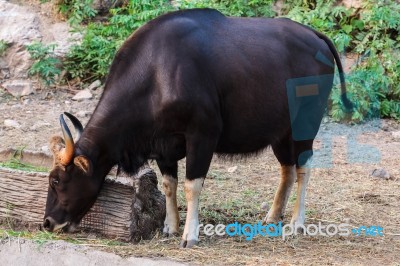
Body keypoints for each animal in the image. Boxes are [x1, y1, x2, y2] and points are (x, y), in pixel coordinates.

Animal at [43, 9, 350, 248]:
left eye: (56, 181)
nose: (47, 222)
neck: (157, 74)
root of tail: (315, 35)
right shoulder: (163, 145)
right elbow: (169, 184)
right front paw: (170, 226)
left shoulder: (203, 136)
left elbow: (192, 185)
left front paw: (190, 234)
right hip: (280, 132)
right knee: (287, 169)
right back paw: (273, 217)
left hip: (305, 125)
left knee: (303, 168)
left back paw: (296, 224)